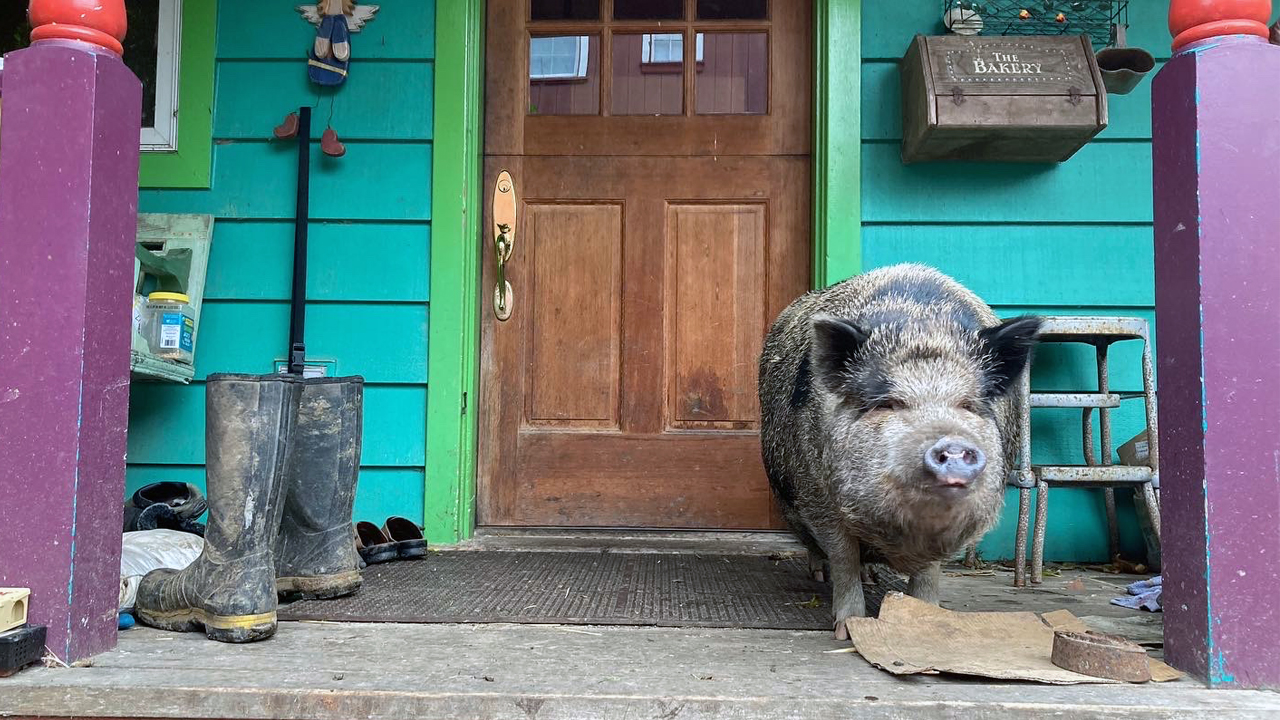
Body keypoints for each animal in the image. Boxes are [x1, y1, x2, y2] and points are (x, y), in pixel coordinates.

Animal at [757, 263, 1039, 632]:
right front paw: (846, 628)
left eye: (968, 405)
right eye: (889, 404)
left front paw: (927, 617)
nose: (952, 446)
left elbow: (929, 571)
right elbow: (843, 556)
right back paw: (819, 575)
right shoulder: (817, 493)